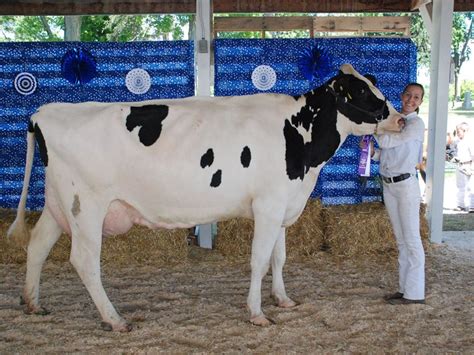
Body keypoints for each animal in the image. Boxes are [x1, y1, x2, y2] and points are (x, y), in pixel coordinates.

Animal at [8, 63, 404, 330]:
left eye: (373, 84)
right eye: (362, 93)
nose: (400, 119)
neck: (299, 138)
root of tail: (44, 111)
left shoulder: (282, 206)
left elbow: (279, 258)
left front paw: (283, 300)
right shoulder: (268, 205)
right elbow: (259, 260)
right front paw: (257, 313)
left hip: (59, 204)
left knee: (38, 245)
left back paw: (32, 303)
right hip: (86, 206)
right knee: (84, 261)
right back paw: (115, 319)